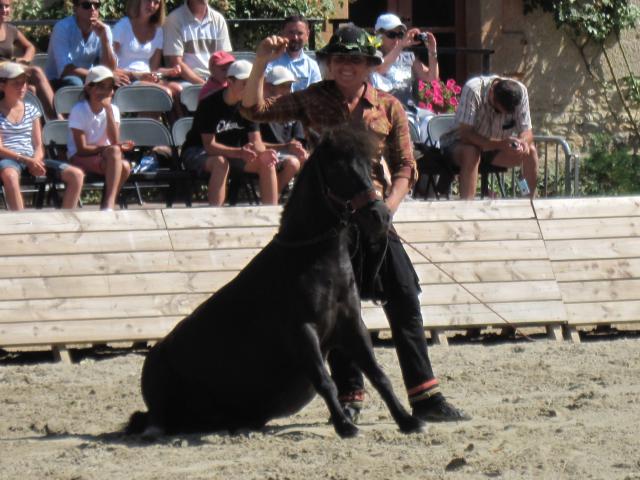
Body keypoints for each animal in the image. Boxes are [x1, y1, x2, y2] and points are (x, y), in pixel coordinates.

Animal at [127, 126, 422, 438]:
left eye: (369, 166)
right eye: (336, 167)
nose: (379, 214)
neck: (312, 260)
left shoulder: (351, 325)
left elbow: (379, 375)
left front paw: (407, 420)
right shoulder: (303, 331)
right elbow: (325, 381)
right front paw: (345, 426)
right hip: (163, 411)